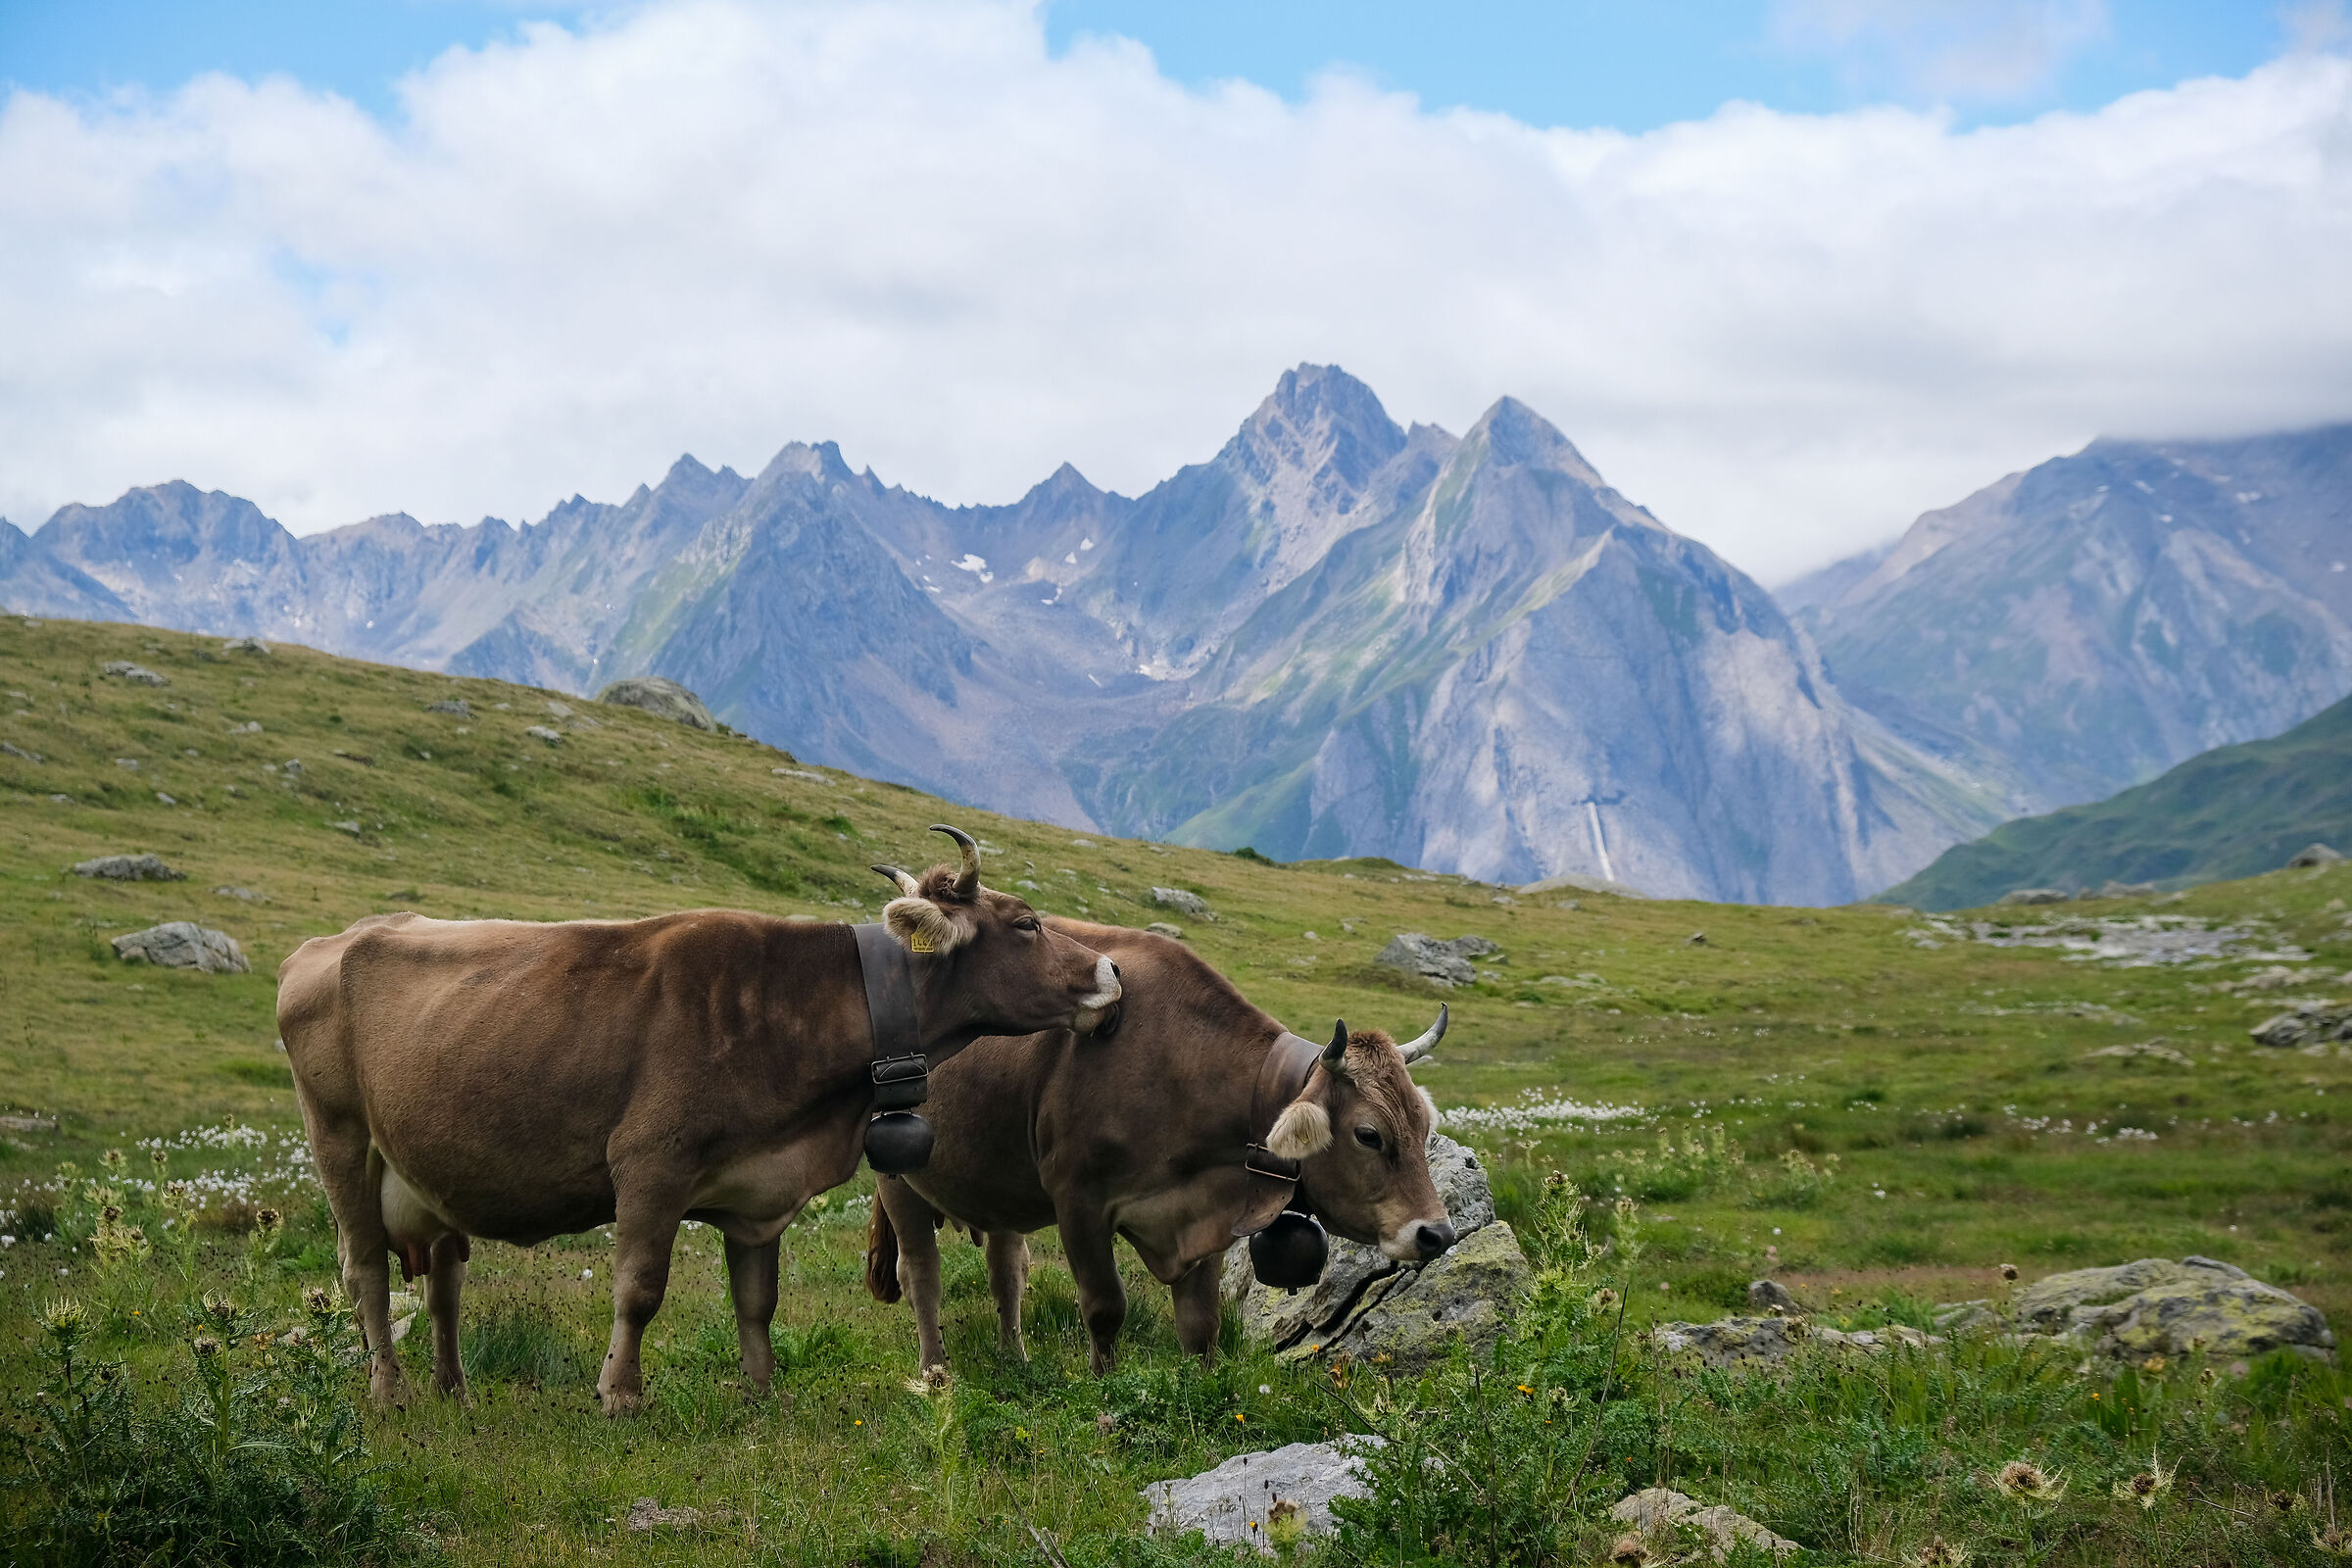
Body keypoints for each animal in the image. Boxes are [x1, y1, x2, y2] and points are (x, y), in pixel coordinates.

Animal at [277, 826, 1122, 1415]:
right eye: (1027, 923)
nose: (1111, 971)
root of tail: (330, 941)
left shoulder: (760, 1187)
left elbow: (757, 1300)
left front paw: (764, 1391)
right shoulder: (651, 1164)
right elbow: (639, 1289)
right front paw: (620, 1393)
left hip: (427, 1170)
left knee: (444, 1282)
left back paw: (455, 1392)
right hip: (340, 1140)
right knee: (366, 1271)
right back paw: (391, 1393)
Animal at [862, 919, 1451, 1375]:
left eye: (1423, 1126)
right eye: (1368, 1134)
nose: (1437, 1233)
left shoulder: (1205, 1214)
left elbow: (1201, 1324)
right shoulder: (1079, 1202)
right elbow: (1104, 1307)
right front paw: (1104, 1390)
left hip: (998, 1184)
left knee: (1007, 1271)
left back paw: (1015, 1361)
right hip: (897, 1176)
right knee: (921, 1274)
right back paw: (936, 1372)